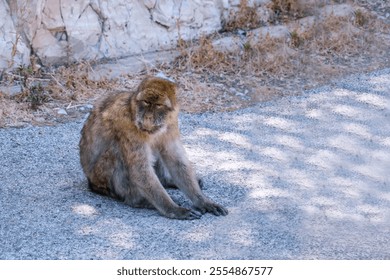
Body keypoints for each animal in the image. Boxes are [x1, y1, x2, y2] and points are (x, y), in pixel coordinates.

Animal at [77, 76, 227, 219]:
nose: (148, 116)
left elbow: (176, 160)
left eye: (158, 105)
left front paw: (203, 201)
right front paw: (174, 209)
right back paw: (138, 200)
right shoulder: (126, 124)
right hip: (101, 179)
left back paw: (167, 181)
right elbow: (140, 169)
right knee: (116, 151)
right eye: (146, 102)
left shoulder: (171, 123)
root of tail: (92, 183)